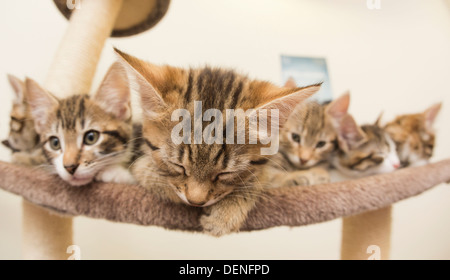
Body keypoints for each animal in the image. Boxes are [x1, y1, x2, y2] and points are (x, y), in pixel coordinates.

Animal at [114, 48, 322, 236]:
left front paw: (227, 212)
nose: (195, 201)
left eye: (225, 173)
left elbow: (258, 178)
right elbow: (144, 169)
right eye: (178, 166)